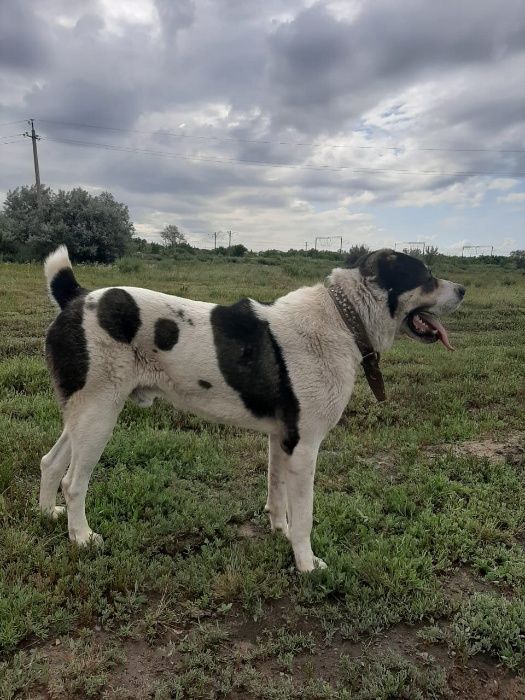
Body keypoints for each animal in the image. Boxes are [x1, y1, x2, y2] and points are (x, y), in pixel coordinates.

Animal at [40, 246, 462, 568]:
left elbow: (277, 497)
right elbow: (304, 516)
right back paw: (81, 537)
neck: (344, 318)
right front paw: (306, 564)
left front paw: (280, 534)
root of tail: (77, 296)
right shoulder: (305, 448)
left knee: (50, 462)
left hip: (84, 414)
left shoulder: (282, 440)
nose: (462, 289)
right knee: (73, 482)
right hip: (99, 416)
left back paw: (47, 514)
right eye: (427, 277)